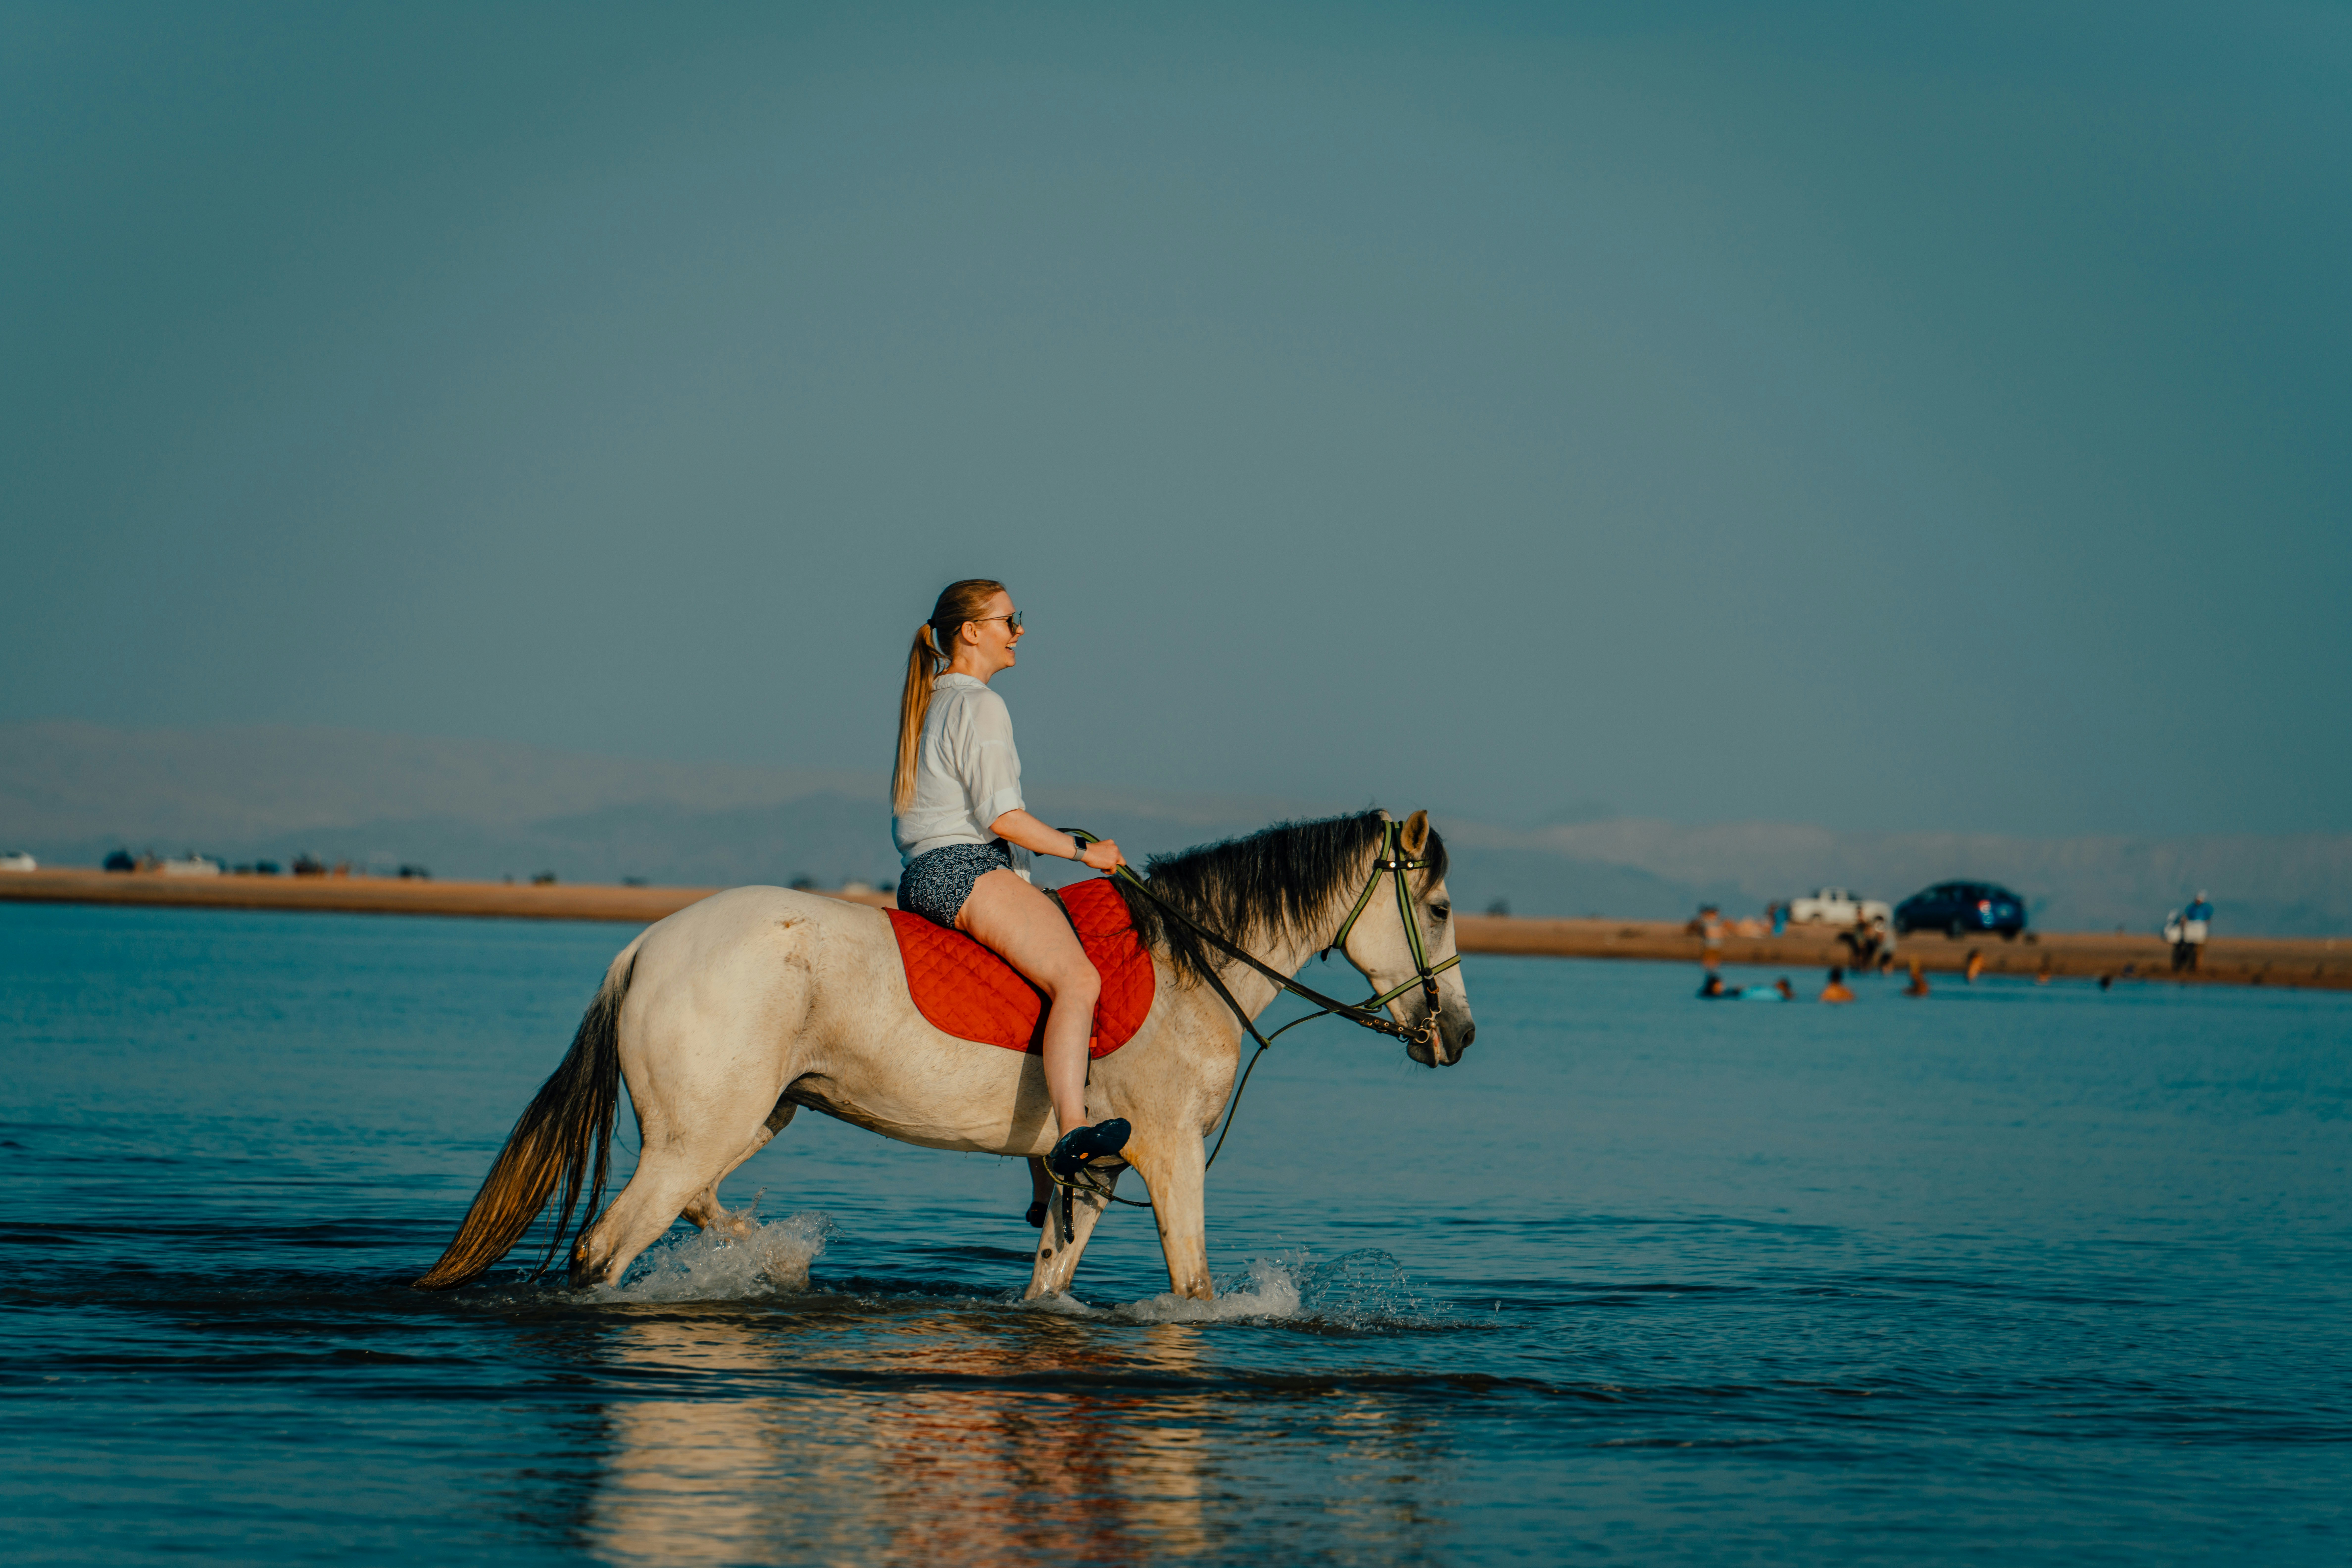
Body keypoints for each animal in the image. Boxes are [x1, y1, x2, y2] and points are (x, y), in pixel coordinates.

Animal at [412, 808, 1476, 1302]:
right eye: (1436, 908)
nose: (1461, 1037)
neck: (1191, 964)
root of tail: (641, 946)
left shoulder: (1090, 1169)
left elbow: (1049, 1283)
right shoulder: (1170, 1153)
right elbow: (1194, 1289)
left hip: (750, 1115)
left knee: (699, 1202)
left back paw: (779, 1263)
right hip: (698, 1131)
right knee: (607, 1249)